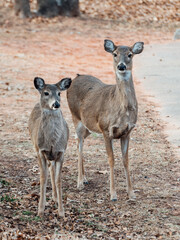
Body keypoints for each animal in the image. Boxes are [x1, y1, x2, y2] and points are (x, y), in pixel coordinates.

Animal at [28, 76, 71, 217]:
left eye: (59, 93)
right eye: (46, 93)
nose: (56, 104)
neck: (52, 141)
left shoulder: (61, 152)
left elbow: (58, 180)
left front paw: (61, 212)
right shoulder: (40, 151)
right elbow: (43, 177)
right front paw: (40, 210)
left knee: (52, 170)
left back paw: (55, 198)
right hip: (36, 148)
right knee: (49, 171)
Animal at [67, 39, 144, 201]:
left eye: (130, 54)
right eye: (115, 54)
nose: (121, 66)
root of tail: (76, 76)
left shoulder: (127, 132)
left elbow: (126, 160)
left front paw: (131, 193)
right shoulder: (105, 129)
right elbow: (111, 159)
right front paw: (113, 194)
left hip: (89, 126)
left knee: (79, 142)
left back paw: (85, 178)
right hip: (75, 117)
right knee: (79, 145)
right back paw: (79, 182)